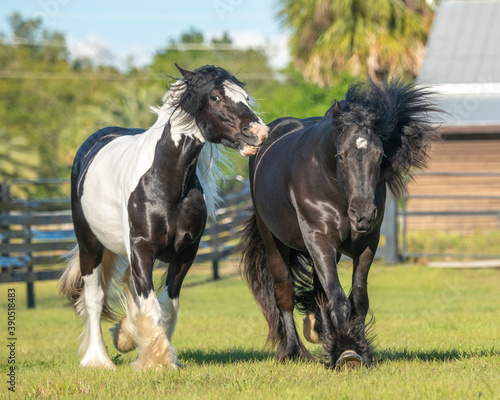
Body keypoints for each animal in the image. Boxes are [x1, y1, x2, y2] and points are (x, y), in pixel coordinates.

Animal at [59, 65, 270, 368]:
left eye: (246, 97)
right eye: (216, 97)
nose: (258, 132)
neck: (165, 183)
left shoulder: (185, 253)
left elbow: (167, 304)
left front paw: (149, 349)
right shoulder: (141, 250)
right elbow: (150, 305)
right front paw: (156, 361)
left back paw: (124, 337)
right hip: (89, 245)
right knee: (94, 298)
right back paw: (97, 359)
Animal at [240, 79, 440, 370]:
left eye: (380, 155)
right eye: (342, 155)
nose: (363, 214)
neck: (332, 184)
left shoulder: (367, 244)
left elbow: (357, 297)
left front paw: (359, 348)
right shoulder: (319, 240)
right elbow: (338, 299)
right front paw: (345, 350)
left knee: (317, 291)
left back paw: (318, 329)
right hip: (274, 241)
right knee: (284, 292)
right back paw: (293, 351)